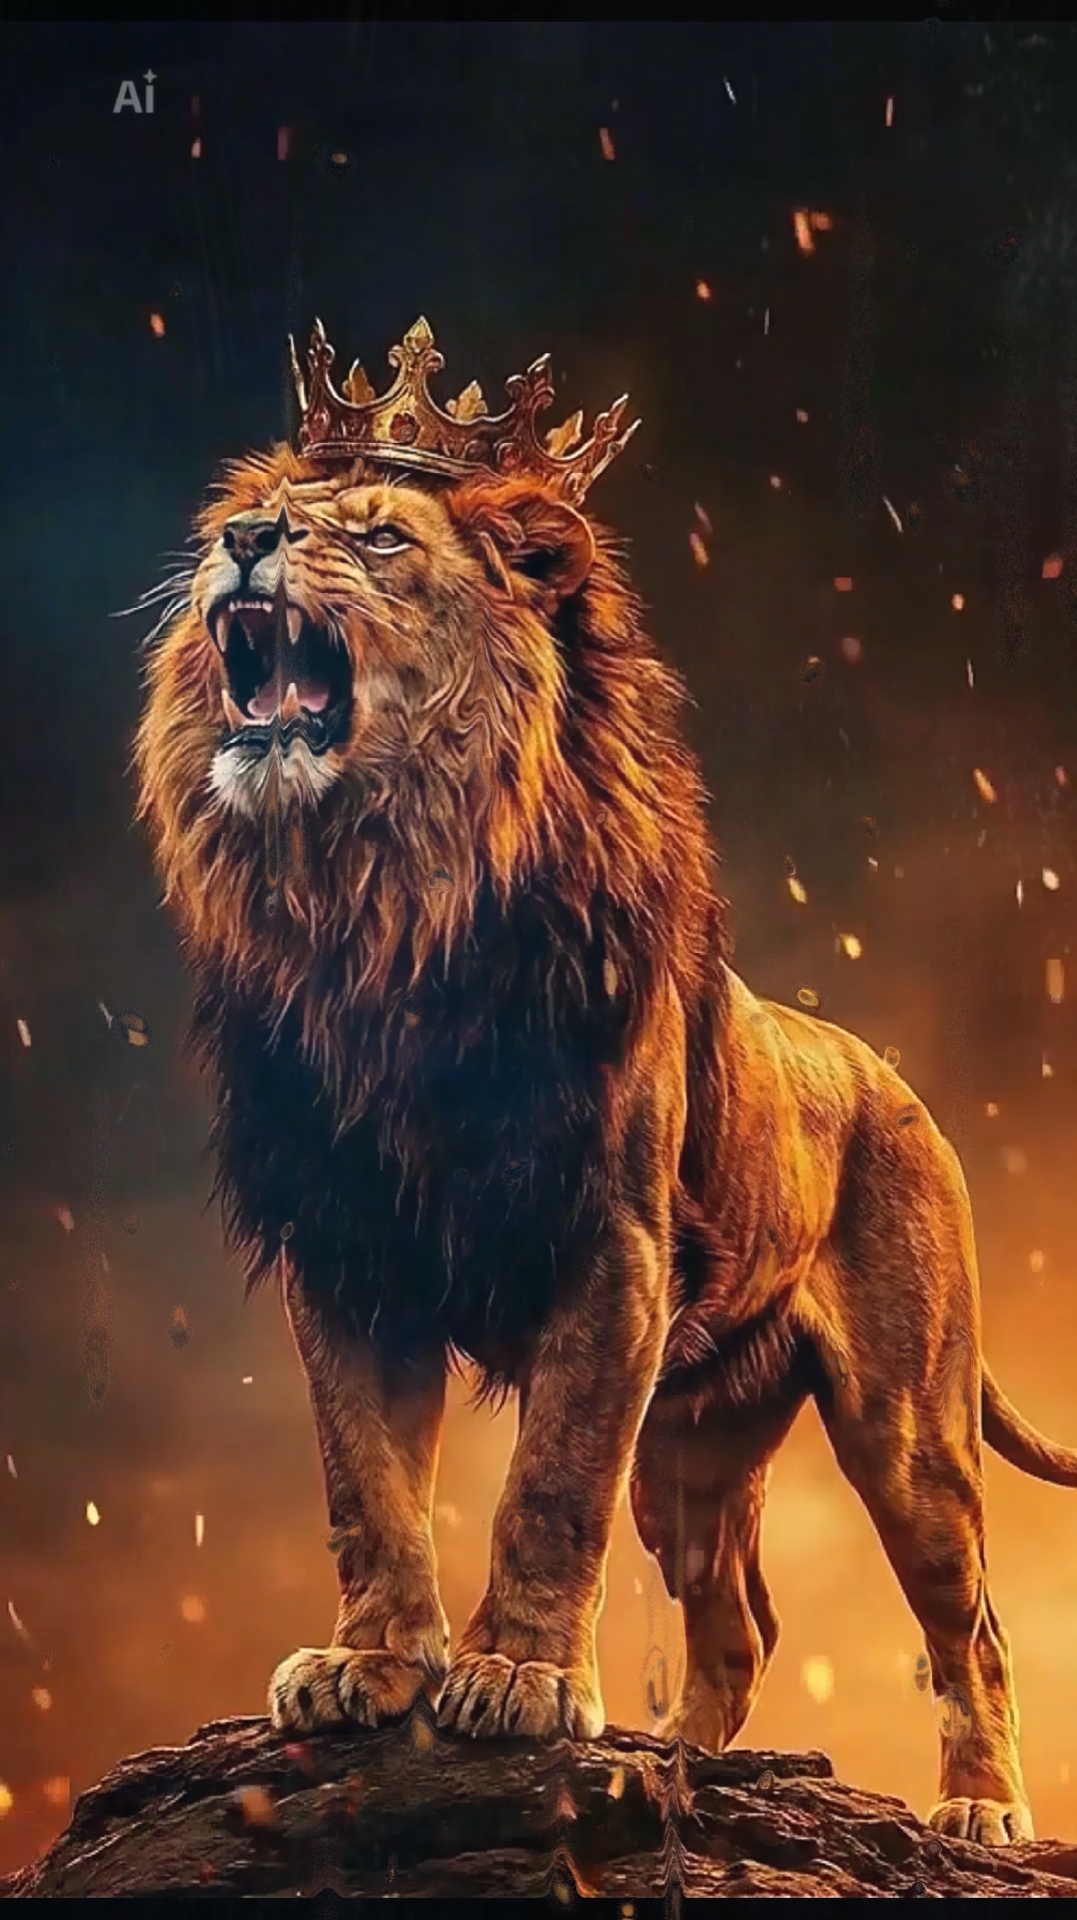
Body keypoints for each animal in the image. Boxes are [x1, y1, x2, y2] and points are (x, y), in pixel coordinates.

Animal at [134, 337, 1077, 1851]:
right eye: (269, 507)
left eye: (381, 538)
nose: (243, 539)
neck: (382, 902)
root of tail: (887, 1076)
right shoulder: (346, 1252)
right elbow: (366, 1485)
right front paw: (371, 1663)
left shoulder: (610, 1249)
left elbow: (549, 1487)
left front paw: (518, 1678)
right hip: (692, 1446)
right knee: (738, 1622)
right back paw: (673, 1764)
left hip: (907, 1425)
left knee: (969, 1621)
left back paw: (980, 1813)